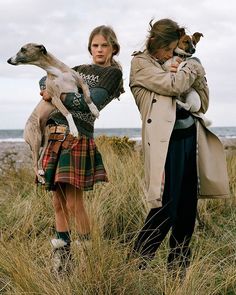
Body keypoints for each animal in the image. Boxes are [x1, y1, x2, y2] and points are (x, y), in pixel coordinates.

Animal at [7, 43, 99, 184]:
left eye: (23, 49)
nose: (8, 60)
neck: (57, 71)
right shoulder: (55, 98)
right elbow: (67, 113)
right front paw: (73, 129)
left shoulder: (81, 83)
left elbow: (88, 97)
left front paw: (94, 109)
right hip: (35, 139)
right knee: (34, 163)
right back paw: (41, 178)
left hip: (45, 138)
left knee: (40, 158)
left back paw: (41, 171)